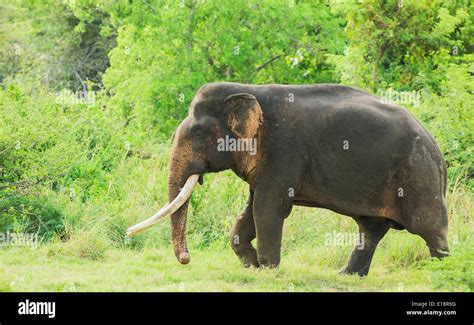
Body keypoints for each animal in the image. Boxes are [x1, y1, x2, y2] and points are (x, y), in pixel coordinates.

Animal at [127, 82, 448, 274]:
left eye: (197, 132)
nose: (186, 259)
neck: (249, 90)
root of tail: (436, 147)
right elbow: (251, 207)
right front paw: (252, 265)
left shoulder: (283, 150)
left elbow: (267, 206)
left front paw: (268, 270)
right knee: (371, 228)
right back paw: (348, 275)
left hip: (418, 175)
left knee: (429, 226)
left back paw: (443, 270)